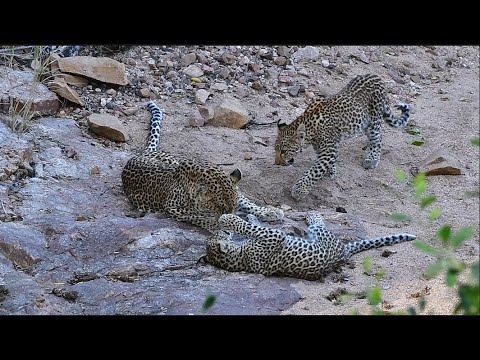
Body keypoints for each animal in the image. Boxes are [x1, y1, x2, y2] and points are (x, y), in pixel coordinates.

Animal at [121, 100, 284, 232]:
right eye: (219, 208)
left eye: (230, 208)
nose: (229, 216)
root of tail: (143, 153)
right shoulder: (173, 208)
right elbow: (198, 217)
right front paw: (217, 224)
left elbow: (243, 202)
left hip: (175, 161)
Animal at [201, 211, 414, 282]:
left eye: (217, 235)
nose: (222, 231)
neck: (240, 258)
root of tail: (343, 252)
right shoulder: (274, 236)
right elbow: (249, 227)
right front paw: (227, 218)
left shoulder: (271, 236)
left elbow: (252, 226)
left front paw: (251, 216)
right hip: (321, 235)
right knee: (318, 224)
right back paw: (313, 215)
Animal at [276, 73, 410, 200]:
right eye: (275, 150)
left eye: (284, 151)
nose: (277, 164)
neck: (310, 128)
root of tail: (376, 77)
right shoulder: (322, 148)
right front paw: (331, 170)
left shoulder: (328, 150)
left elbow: (315, 171)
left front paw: (300, 190)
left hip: (374, 121)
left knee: (378, 138)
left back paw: (372, 159)